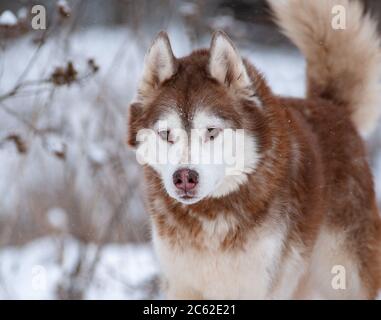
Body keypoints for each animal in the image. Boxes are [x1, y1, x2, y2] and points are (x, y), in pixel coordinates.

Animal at [127, 0, 380, 300]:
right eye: (166, 134)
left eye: (211, 131)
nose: (184, 177)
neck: (210, 217)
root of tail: (331, 107)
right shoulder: (181, 285)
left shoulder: (257, 286)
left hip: (343, 276)